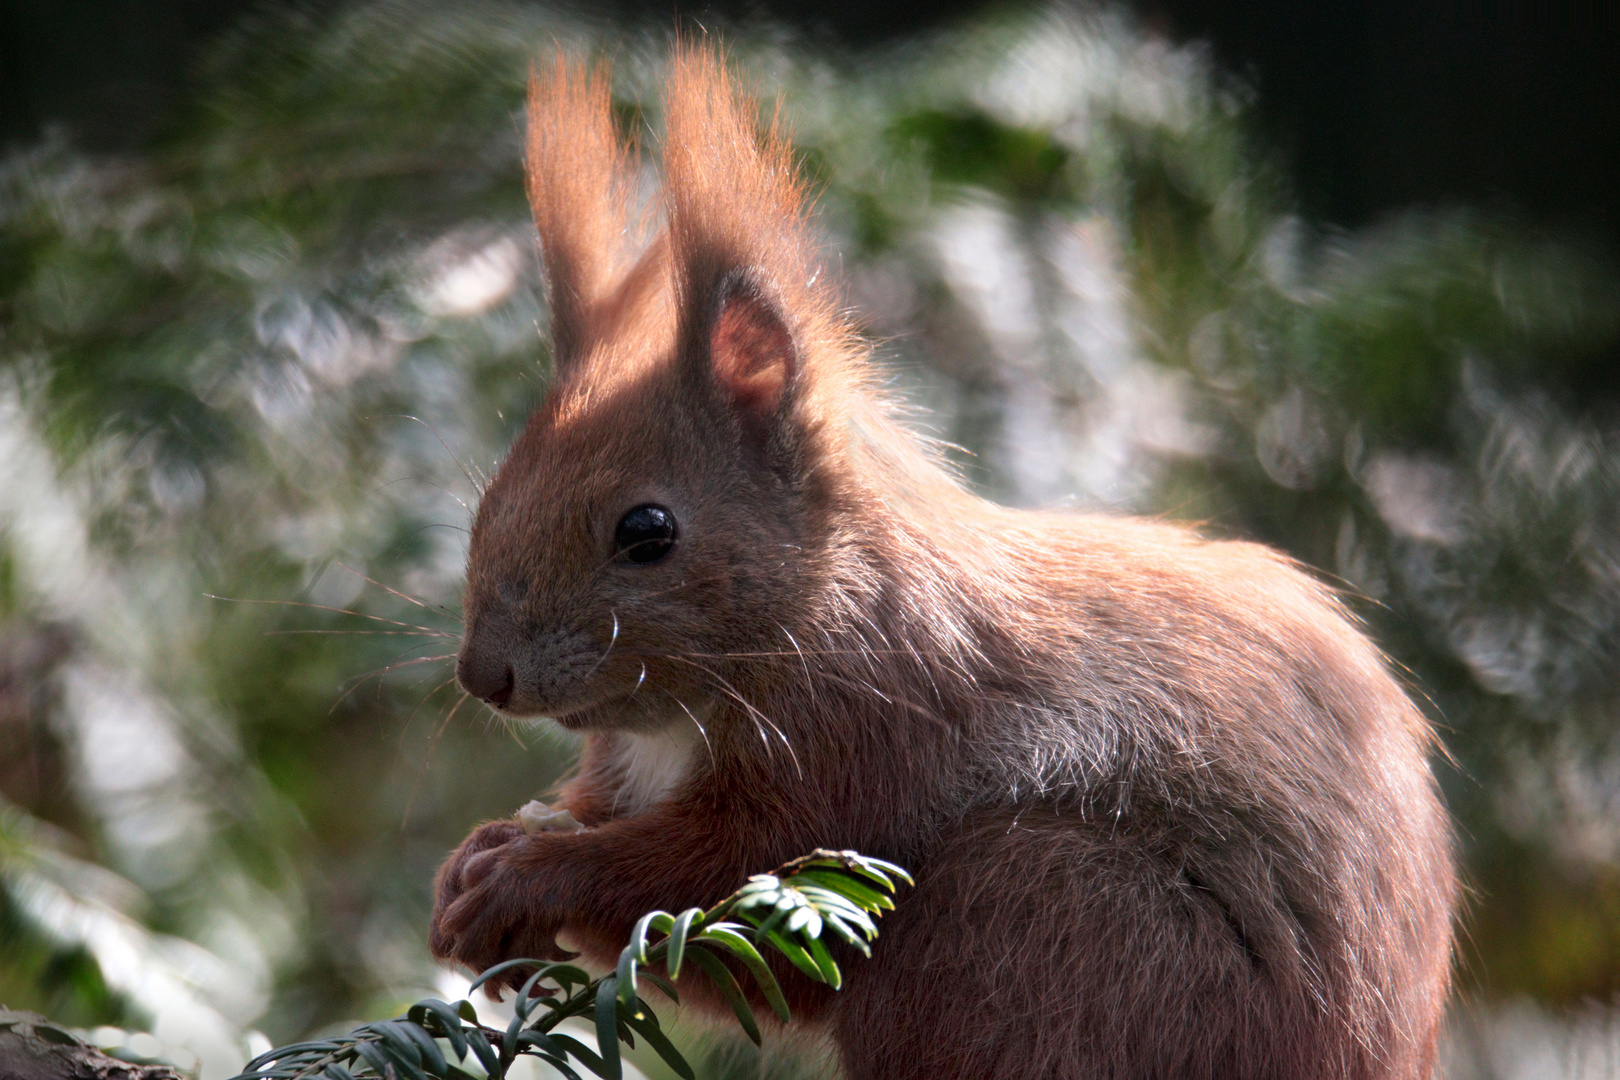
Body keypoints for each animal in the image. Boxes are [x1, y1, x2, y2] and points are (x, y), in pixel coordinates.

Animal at [427, 44, 1458, 1080]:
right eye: (491, 494)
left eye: (648, 531)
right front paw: (475, 856)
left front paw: (529, 876)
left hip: (1040, 916)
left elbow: (725, 890)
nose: (484, 676)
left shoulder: (867, 732)